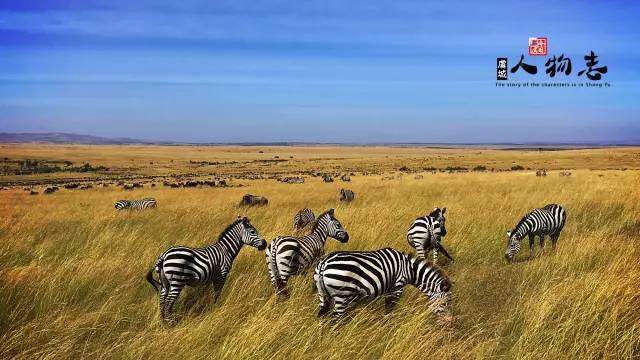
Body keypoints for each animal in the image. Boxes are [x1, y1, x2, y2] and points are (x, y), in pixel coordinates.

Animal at [312, 248, 452, 318]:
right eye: (445, 304)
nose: (450, 323)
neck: (410, 270)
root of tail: (323, 262)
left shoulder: (390, 289)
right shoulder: (397, 287)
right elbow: (389, 309)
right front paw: (388, 326)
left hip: (322, 293)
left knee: (322, 316)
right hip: (342, 295)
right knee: (336, 319)